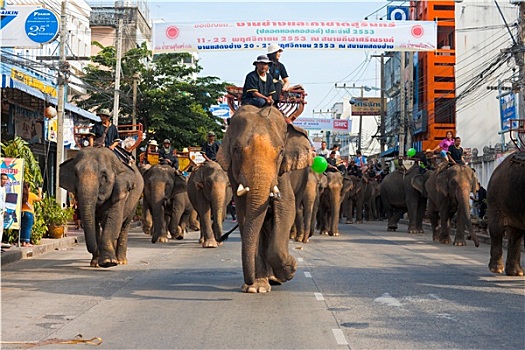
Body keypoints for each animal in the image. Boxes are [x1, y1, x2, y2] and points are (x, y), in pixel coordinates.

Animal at [216, 105, 312, 294]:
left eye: (281, 151)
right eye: (236, 150)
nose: (249, 281)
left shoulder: (283, 172)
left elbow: (286, 208)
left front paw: (291, 269)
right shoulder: (233, 174)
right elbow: (245, 215)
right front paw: (256, 288)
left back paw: (275, 278)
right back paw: (268, 279)